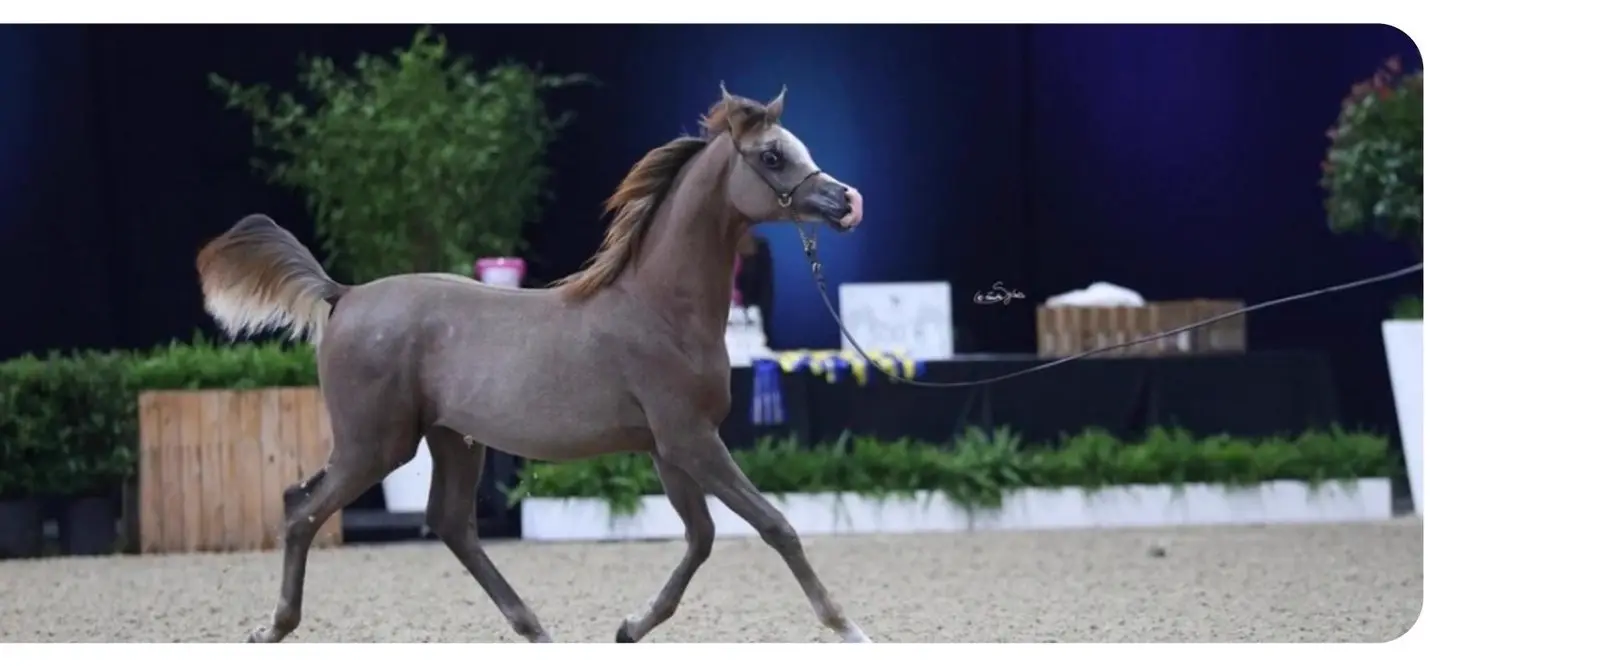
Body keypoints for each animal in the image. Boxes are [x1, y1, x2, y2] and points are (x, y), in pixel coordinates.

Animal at [195, 84, 870, 644]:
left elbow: (700, 539)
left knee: (449, 524)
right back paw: (273, 628)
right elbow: (774, 525)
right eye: (773, 156)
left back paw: (535, 629)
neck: (658, 307)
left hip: (453, 439)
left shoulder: (669, 447)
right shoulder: (691, 439)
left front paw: (629, 628)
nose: (847, 202)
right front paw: (849, 629)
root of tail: (345, 295)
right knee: (301, 508)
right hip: (375, 445)